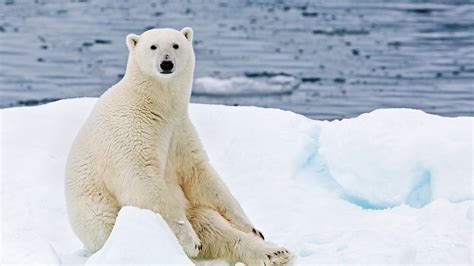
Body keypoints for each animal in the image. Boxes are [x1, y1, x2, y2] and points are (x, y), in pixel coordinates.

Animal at [63, 27, 292, 264]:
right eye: (153, 46)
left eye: (175, 45)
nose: (166, 63)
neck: (155, 106)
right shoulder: (130, 132)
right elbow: (144, 184)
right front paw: (191, 241)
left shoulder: (179, 130)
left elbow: (200, 175)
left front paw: (253, 228)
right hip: (100, 215)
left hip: (188, 206)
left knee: (213, 225)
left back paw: (274, 252)